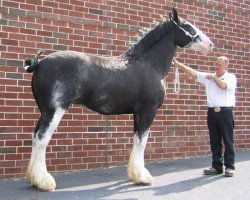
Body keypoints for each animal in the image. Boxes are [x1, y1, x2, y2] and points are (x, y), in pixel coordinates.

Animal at [25, 8, 213, 191]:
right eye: (188, 26)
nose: (210, 45)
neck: (149, 64)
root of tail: (39, 63)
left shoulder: (137, 113)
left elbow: (136, 139)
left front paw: (135, 175)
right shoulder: (148, 111)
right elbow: (142, 141)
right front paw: (142, 177)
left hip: (44, 111)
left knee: (35, 136)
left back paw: (34, 180)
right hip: (54, 111)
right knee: (42, 138)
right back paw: (44, 182)